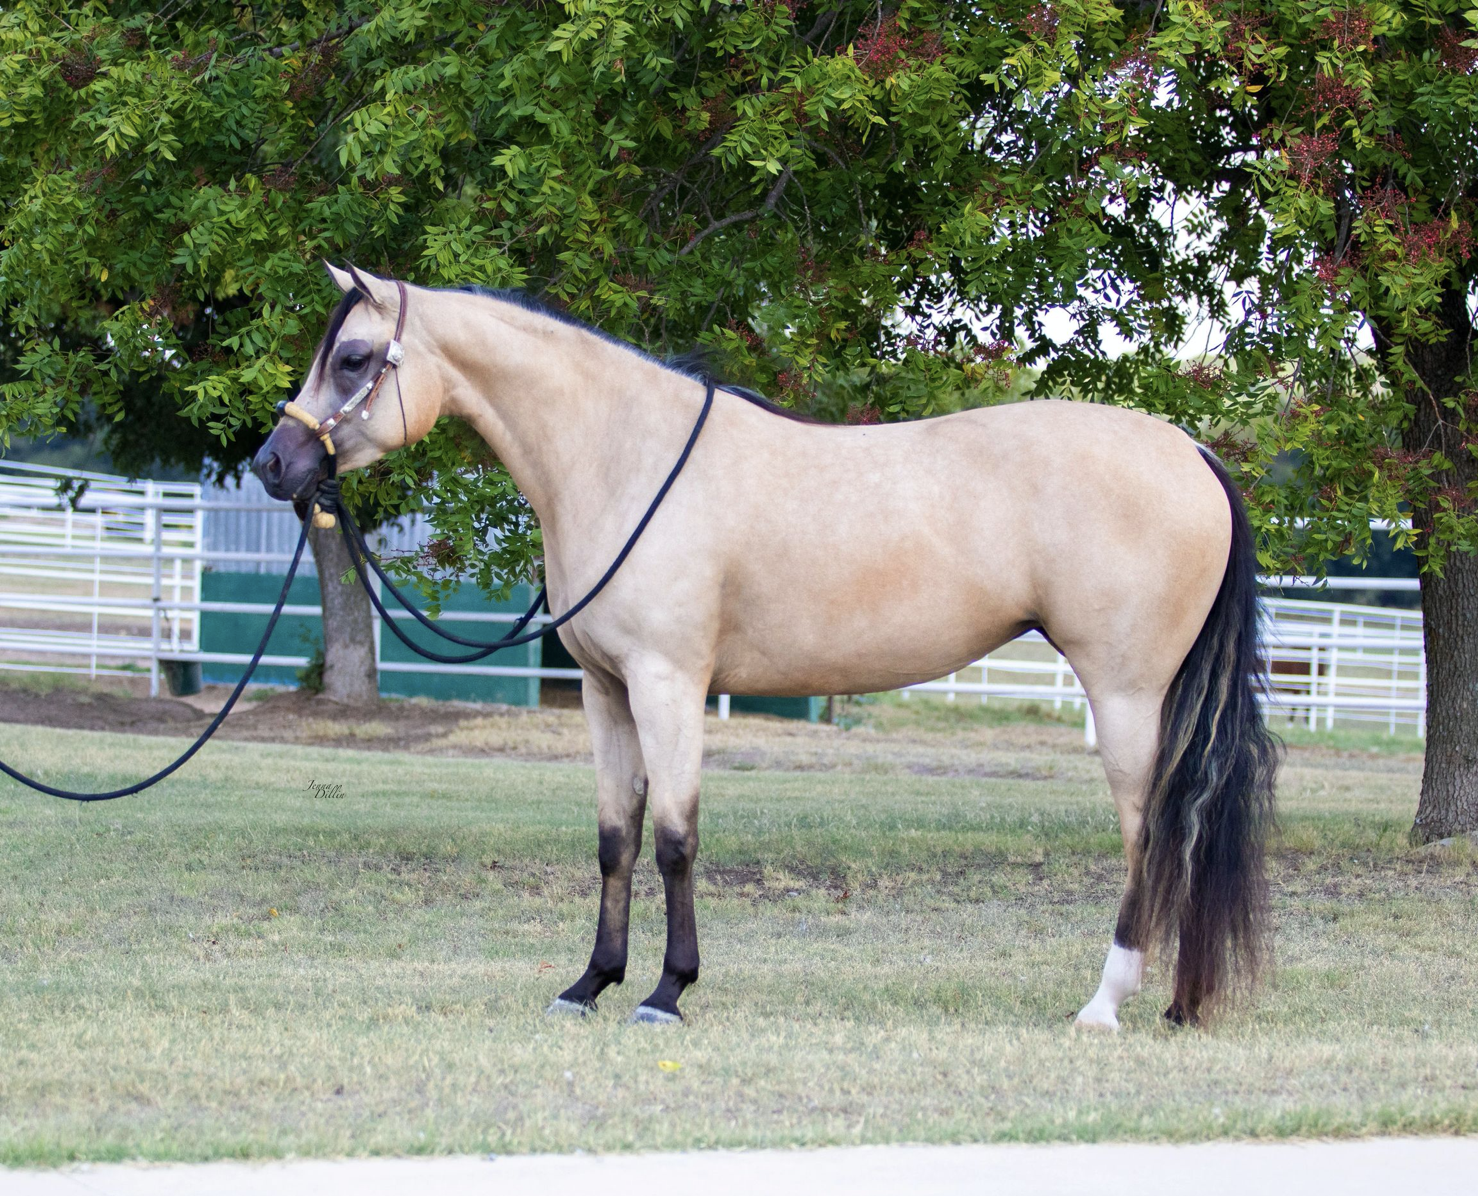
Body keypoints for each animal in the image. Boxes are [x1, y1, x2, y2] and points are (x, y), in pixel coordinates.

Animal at [253, 264, 1278, 1030]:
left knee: (1152, 835)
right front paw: (590, 984)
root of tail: (1191, 452)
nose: (274, 463)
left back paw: (1106, 1004)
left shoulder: (669, 685)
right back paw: (1179, 1003)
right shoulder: (605, 691)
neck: (624, 459)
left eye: (352, 358)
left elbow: (675, 838)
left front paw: (667, 992)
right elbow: (616, 839)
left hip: (1127, 695)